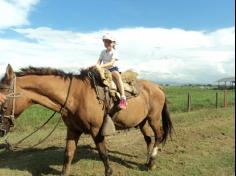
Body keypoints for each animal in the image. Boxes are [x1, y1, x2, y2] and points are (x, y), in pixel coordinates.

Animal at [0, 64, 173, 176]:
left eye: (2, 102)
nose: (1, 131)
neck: (75, 96)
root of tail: (158, 87)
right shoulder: (73, 130)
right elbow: (68, 154)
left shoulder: (97, 130)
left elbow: (103, 154)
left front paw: (109, 171)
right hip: (142, 121)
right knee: (148, 138)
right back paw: (148, 161)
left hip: (154, 118)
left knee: (158, 136)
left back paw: (151, 163)